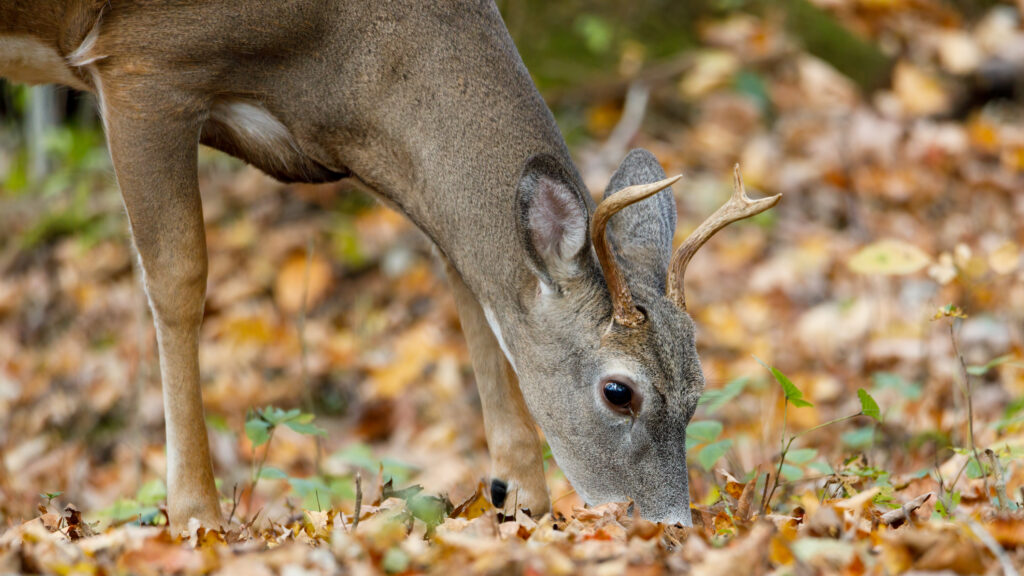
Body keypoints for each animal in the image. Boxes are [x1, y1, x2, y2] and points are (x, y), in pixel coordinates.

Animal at [0, 1, 774, 528]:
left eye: (700, 387)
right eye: (620, 391)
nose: (671, 528)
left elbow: (466, 276)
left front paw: (517, 496)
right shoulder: (143, 65)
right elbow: (178, 278)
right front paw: (196, 516)